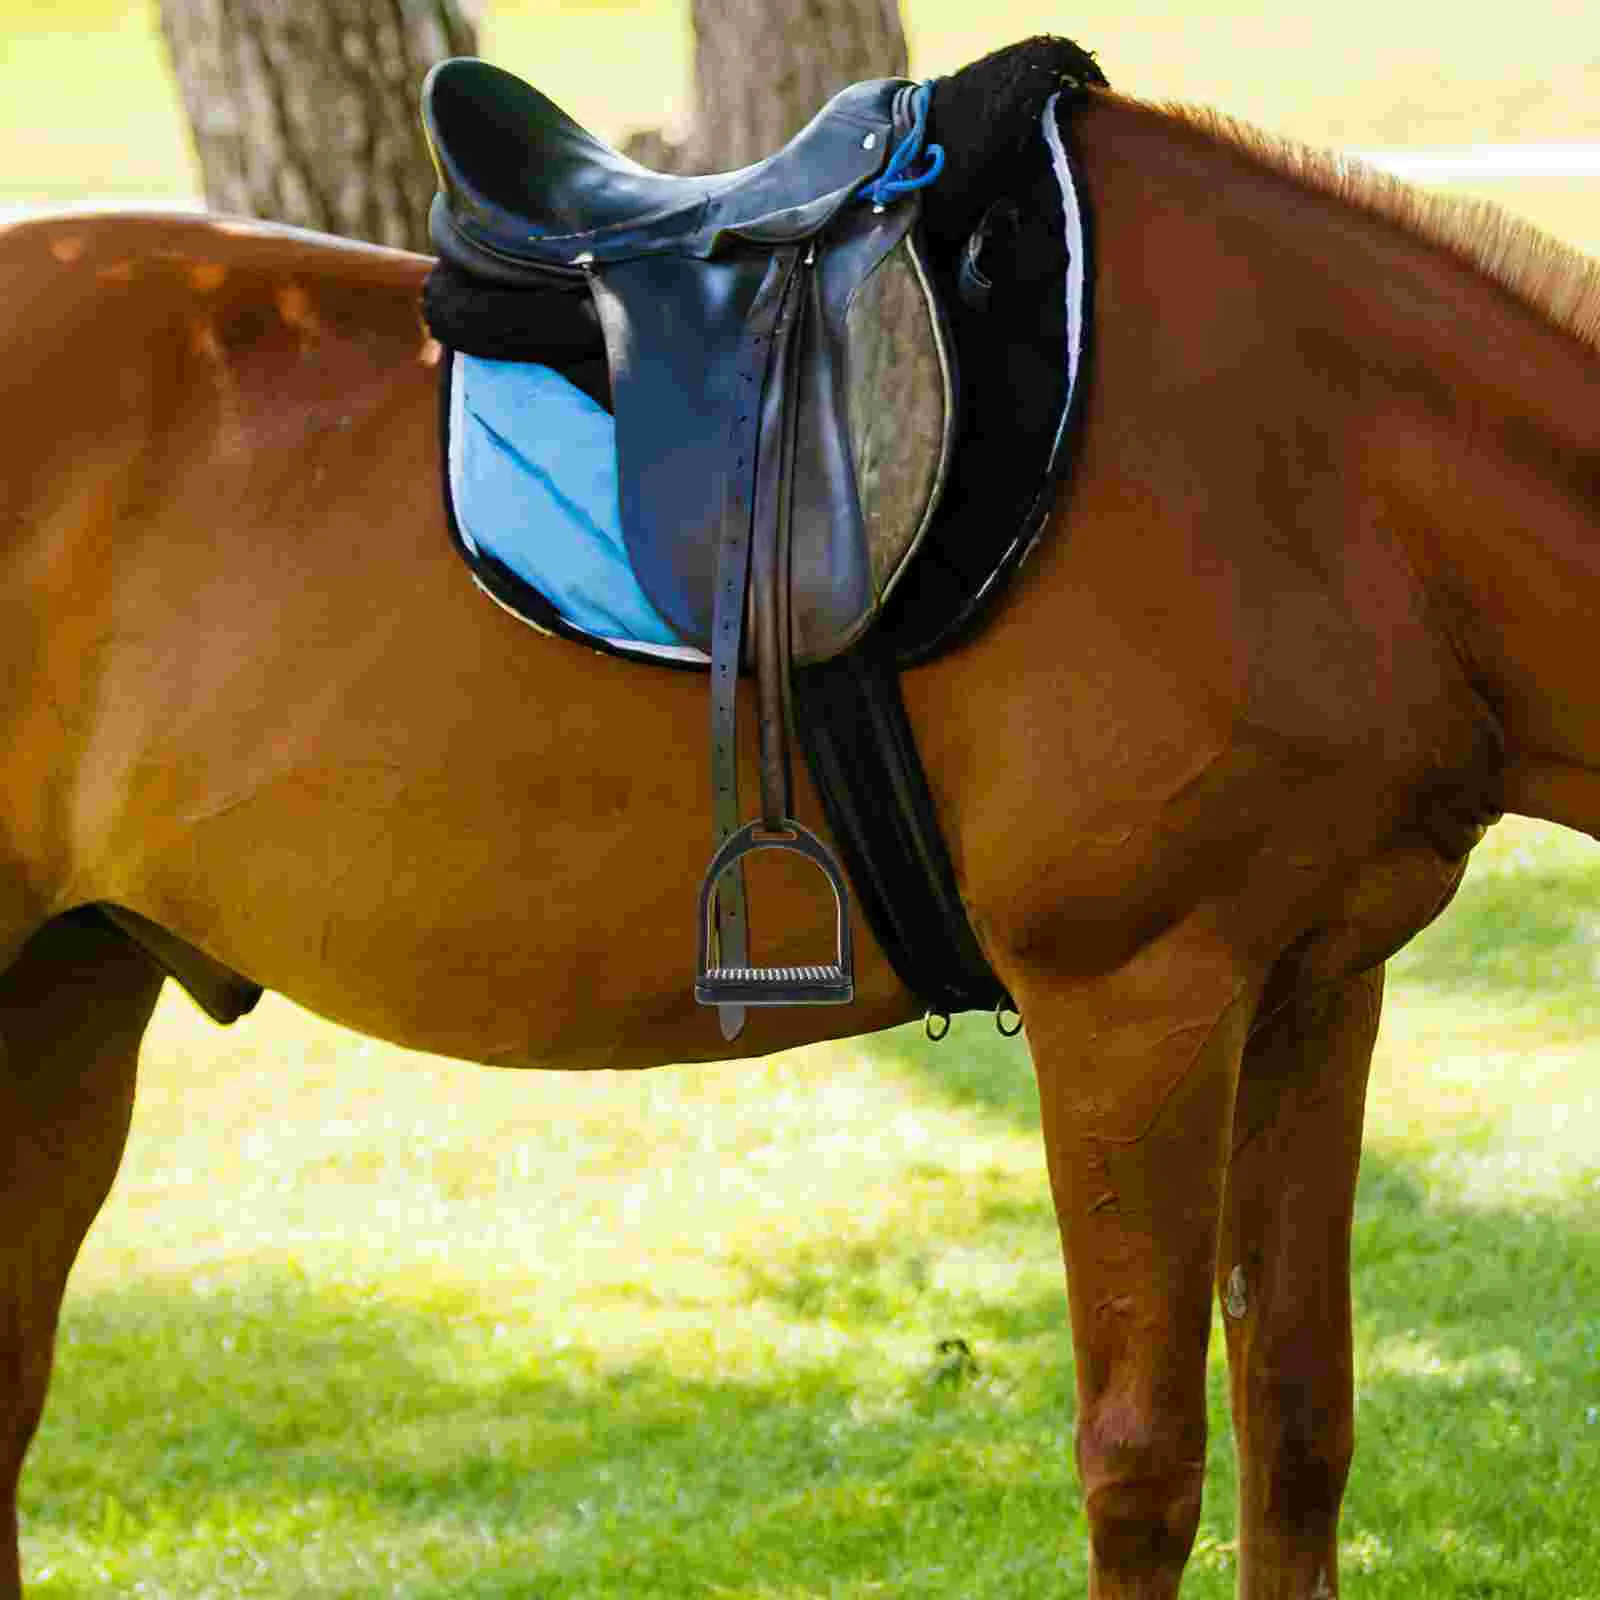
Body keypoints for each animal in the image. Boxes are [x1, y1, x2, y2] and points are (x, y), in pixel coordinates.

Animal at [4, 34, 1596, 1597]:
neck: (1327, 482)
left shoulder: (1316, 994)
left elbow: (1300, 1423)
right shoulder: (1133, 1008)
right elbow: (1144, 1465)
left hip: (72, 993)